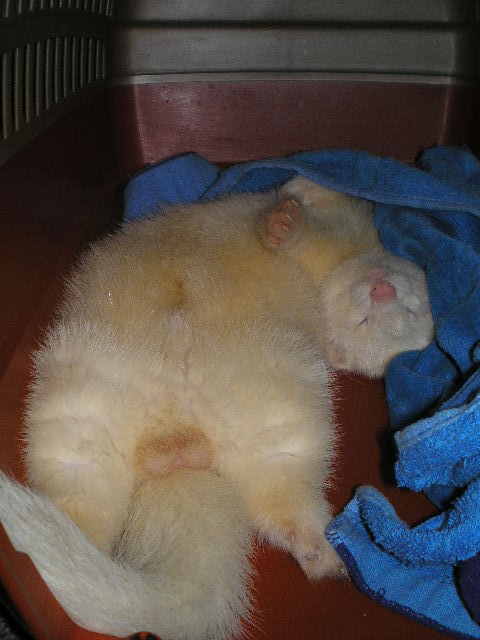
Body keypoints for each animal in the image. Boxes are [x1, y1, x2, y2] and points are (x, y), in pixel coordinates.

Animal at [0, 177, 433, 640]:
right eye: (366, 321)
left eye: (409, 312)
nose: (382, 289)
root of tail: (175, 440)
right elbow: (304, 214)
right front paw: (286, 213)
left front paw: (289, 216)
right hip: (74, 418)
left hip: (282, 426)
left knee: (284, 504)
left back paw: (322, 553)